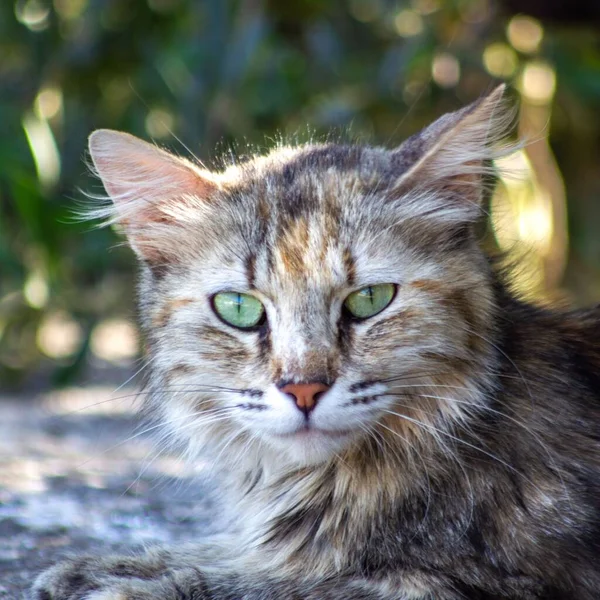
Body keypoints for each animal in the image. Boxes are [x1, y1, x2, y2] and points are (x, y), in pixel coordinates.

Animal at [32, 85, 600, 600]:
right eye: (239, 308)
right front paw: (100, 566)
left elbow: (279, 582)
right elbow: (231, 551)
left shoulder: (474, 583)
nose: (303, 390)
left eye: (369, 299)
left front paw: (134, 583)